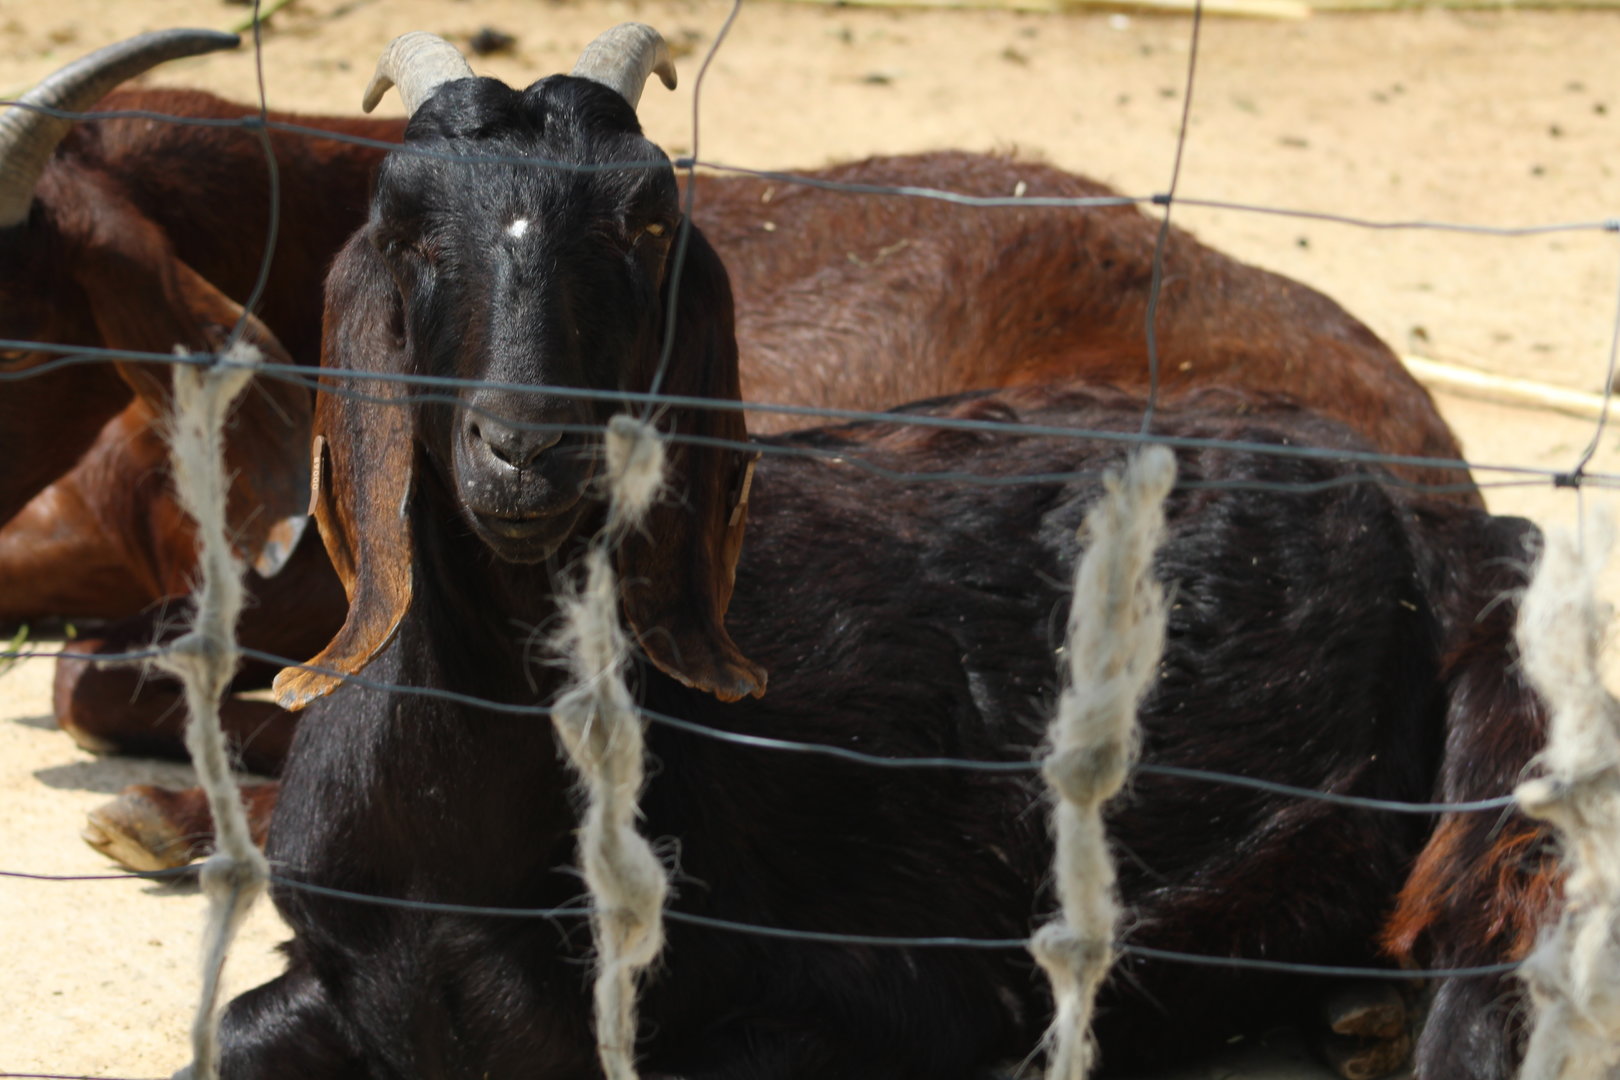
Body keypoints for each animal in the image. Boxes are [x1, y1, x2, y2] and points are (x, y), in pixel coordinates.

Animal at [196, 29, 1550, 1080]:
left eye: (649, 224)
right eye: (404, 227)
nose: (529, 444)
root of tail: (1432, 521)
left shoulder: (866, 1001)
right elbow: (232, 1030)